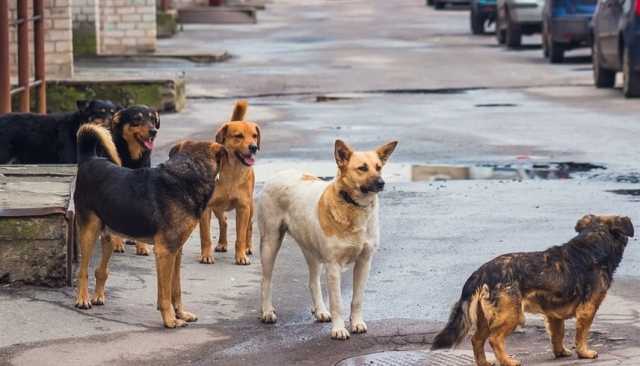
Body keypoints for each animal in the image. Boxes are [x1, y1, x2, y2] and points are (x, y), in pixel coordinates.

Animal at [74, 124, 225, 328]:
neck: (187, 173)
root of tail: (89, 159)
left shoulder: (176, 251)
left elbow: (175, 289)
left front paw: (181, 313)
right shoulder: (165, 252)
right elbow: (165, 293)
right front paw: (170, 319)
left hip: (109, 235)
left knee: (101, 270)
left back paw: (98, 296)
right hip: (89, 231)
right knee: (82, 271)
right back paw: (83, 299)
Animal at [101, 104, 160, 256]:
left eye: (152, 119)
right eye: (137, 119)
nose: (153, 131)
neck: (132, 158)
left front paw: (142, 246)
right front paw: (117, 243)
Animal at [200, 101, 260, 266]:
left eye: (255, 136)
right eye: (238, 136)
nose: (253, 147)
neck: (232, 173)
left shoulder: (243, 208)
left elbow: (240, 236)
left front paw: (241, 256)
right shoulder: (206, 208)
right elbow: (205, 236)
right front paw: (206, 255)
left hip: (250, 207)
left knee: (249, 227)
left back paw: (247, 247)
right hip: (217, 207)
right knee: (224, 221)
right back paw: (222, 243)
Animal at [258, 138, 398, 340]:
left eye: (378, 167)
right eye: (362, 168)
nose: (381, 183)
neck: (352, 206)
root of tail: (280, 173)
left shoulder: (364, 262)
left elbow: (357, 299)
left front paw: (356, 323)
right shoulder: (333, 266)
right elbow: (337, 302)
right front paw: (338, 329)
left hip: (312, 252)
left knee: (313, 282)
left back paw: (320, 311)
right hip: (270, 243)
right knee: (266, 280)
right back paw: (267, 311)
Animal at [432, 214, 632, 366]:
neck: (593, 243)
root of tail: (481, 272)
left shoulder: (553, 315)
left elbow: (557, 335)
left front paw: (560, 352)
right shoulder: (587, 309)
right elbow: (581, 335)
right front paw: (584, 353)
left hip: (485, 318)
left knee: (477, 340)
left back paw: (484, 363)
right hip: (511, 315)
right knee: (494, 339)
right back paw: (508, 361)